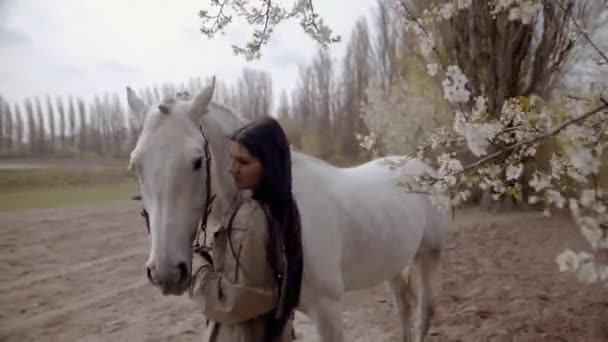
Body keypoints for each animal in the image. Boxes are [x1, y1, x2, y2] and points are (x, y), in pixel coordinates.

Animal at [127, 77, 452, 342]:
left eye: (197, 161)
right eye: (135, 164)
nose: (166, 273)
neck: (283, 206)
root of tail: (421, 167)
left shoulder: (328, 311)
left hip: (428, 257)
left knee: (424, 313)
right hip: (393, 263)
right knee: (404, 309)